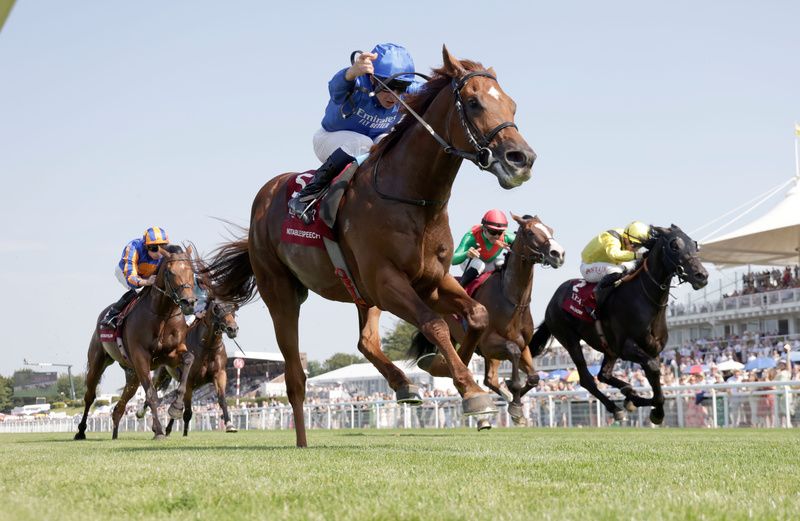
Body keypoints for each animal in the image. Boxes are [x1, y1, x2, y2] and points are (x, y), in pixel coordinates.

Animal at [74, 246, 198, 440]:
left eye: (192, 271)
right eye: (170, 272)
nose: (189, 302)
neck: (162, 314)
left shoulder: (171, 354)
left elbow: (188, 359)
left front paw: (176, 407)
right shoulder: (141, 357)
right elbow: (151, 394)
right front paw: (159, 431)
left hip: (132, 373)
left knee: (121, 404)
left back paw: (115, 432)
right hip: (98, 361)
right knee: (90, 396)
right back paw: (80, 431)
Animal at [133, 296, 239, 434]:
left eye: (233, 308)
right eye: (217, 308)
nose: (233, 329)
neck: (207, 346)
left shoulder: (219, 374)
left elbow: (221, 399)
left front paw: (230, 424)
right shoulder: (189, 380)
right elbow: (187, 411)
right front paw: (184, 432)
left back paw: (169, 427)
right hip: (162, 374)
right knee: (154, 389)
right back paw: (142, 413)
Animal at [203, 46, 536, 446]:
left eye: (512, 105)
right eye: (473, 103)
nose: (522, 159)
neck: (411, 196)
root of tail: (265, 196)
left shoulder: (431, 281)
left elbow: (477, 315)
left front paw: (440, 365)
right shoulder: (386, 281)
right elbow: (434, 324)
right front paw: (473, 393)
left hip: (361, 295)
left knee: (365, 342)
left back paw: (403, 384)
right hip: (282, 292)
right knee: (295, 375)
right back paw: (302, 440)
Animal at [412, 213, 564, 424]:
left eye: (550, 230)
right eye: (530, 232)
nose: (558, 253)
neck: (513, 300)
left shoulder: (523, 344)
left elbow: (533, 378)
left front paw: (514, 405)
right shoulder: (489, 343)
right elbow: (513, 355)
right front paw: (514, 401)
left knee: (488, 378)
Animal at [532, 223, 708, 422]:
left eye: (694, 245)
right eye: (674, 245)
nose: (701, 276)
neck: (644, 298)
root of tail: (553, 300)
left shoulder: (652, 351)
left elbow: (654, 376)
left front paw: (648, 405)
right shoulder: (627, 348)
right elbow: (654, 372)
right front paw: (655, 410)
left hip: (609, 349)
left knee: (603, 375)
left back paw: (628, 393)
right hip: (570, 339)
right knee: (587, 379)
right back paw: (615, 407)